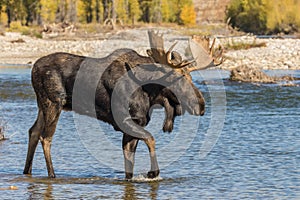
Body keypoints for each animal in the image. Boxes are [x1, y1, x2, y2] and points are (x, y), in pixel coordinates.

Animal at [23, 31, 223, 180]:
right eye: (178, 77)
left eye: (191, 77)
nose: (201, 106)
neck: (150, 93)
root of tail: (33, 68)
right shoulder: (125, 120)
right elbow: (151, 138)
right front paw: (153, 172)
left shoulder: (135, 125)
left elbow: (129, 164)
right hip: (54, 103)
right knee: (46, 137)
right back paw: (52, 174)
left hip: (42, 105)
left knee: (33, 131)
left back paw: (27, 171)